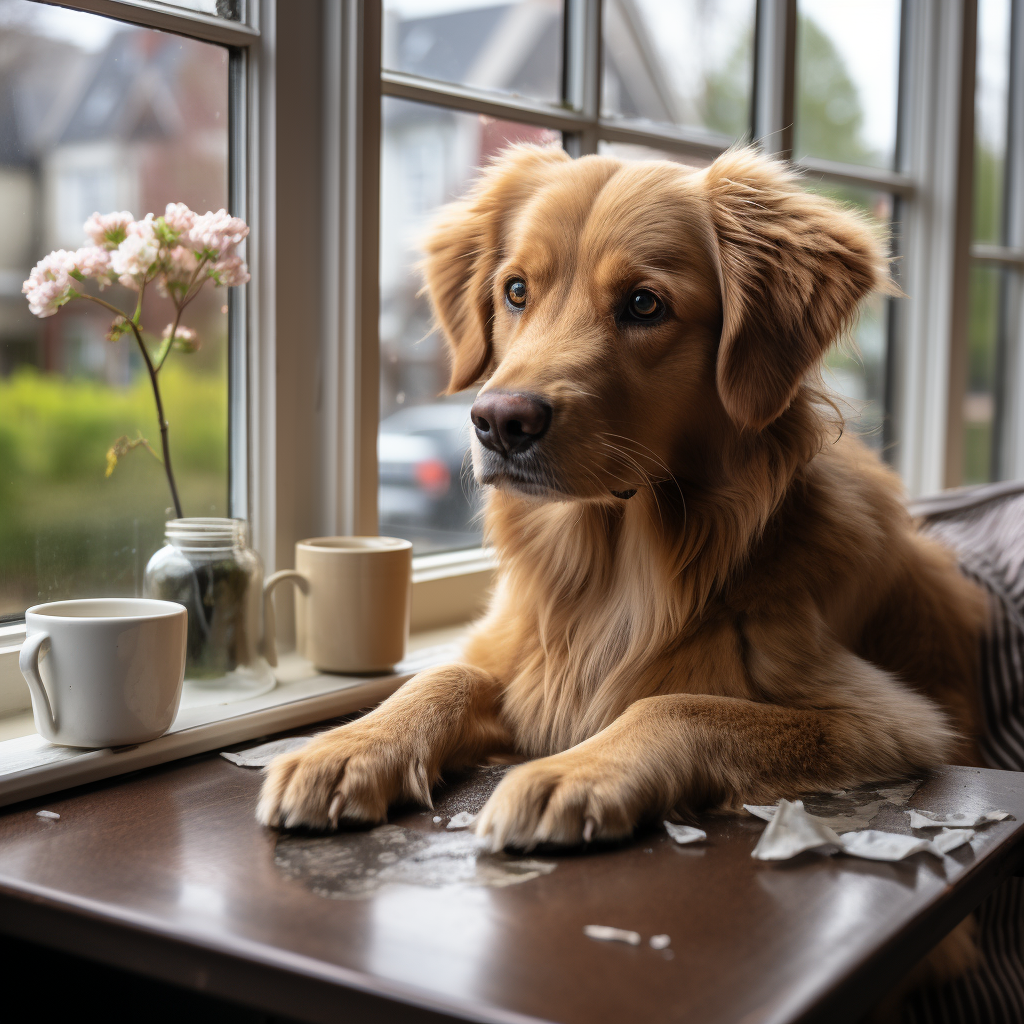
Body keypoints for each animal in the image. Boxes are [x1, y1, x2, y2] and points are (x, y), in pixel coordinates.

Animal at [256, 144, 983, 847]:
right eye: (515, 291)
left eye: (644, 304)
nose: (498, 421)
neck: (611, 571)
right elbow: (446, 674)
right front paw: (350, 747)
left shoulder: (890, 720)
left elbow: (677, 703)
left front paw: (576, 773)